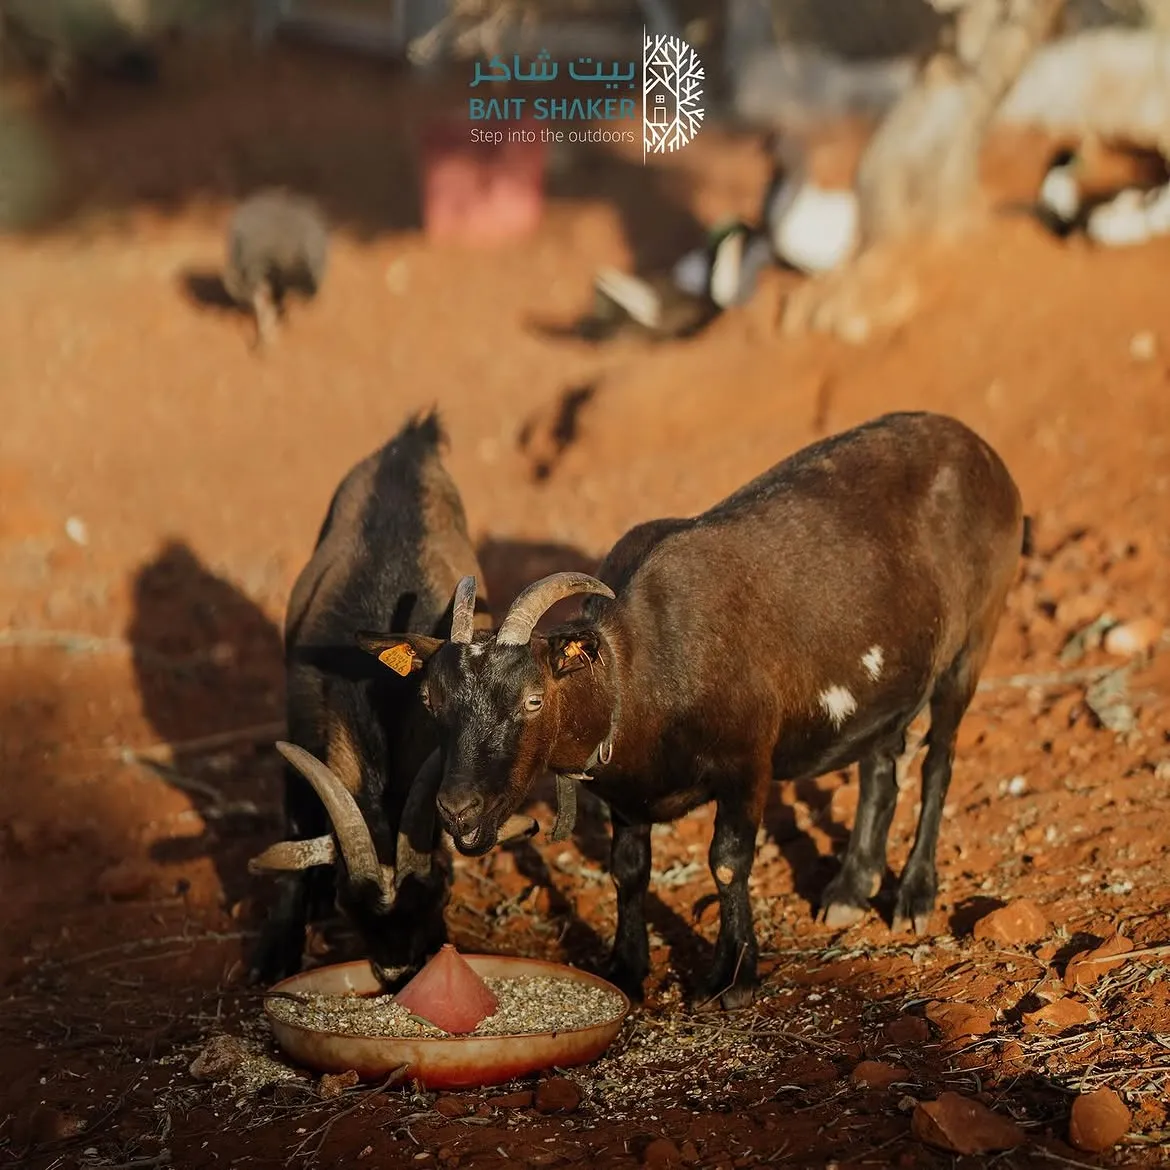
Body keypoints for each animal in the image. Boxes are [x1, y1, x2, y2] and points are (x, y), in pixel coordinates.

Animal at [247, 410, 535, 988]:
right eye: (347, 903)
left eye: (440, 891)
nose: (400, 971)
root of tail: (409, 444)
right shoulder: (299, 729)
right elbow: (296, 823)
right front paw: (276, 949)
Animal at [357, 412, 1027, 1009]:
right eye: (433, 701)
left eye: (533, 698)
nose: (457, 808)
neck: (643, 667)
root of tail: (981, 451)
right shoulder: (625, 796)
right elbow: (628, 870)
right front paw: (626, 970)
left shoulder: (748, 763)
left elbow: (727, 863)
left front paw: (732, 980)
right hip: (891, 683)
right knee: (882, 764)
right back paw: (850, 886)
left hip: (974, 640)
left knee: (939, 760)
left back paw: (913, 895)